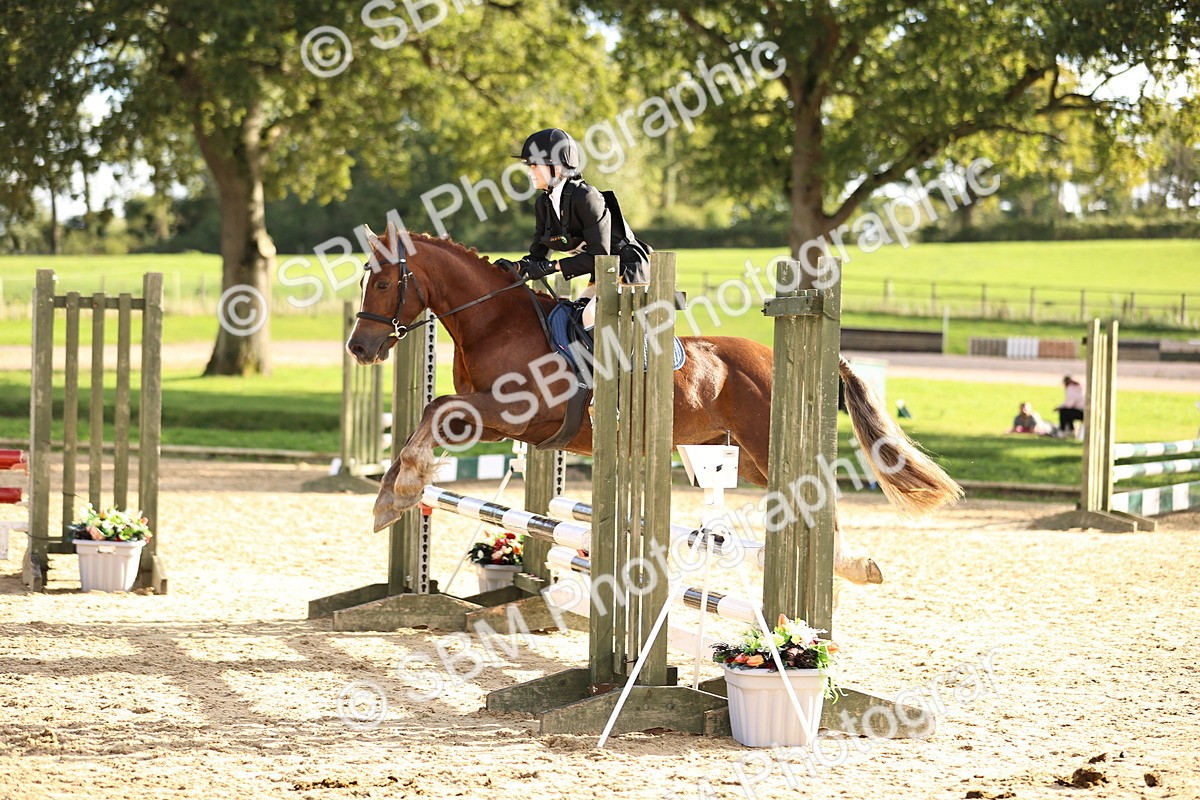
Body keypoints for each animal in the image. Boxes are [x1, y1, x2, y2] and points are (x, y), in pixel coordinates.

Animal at [347, 223, 963, 586]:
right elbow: (431, 415)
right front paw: (392, 494)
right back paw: (845, 568)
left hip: (767, 447)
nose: (359, 347)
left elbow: (436, 410)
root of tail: (776, 353)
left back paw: (846, 569)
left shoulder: (517, 413)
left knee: (816, 496)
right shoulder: (499, 426)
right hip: (750, 456)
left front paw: (396, 495)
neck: (495, 322)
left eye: (383, 283)